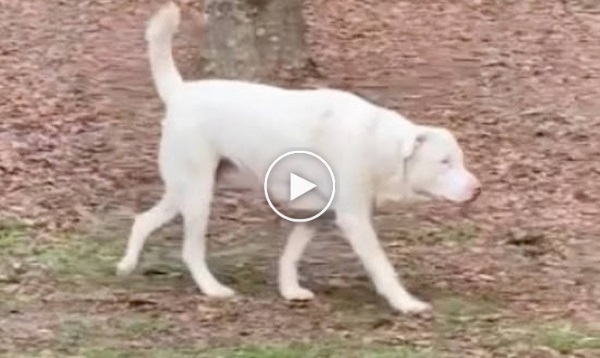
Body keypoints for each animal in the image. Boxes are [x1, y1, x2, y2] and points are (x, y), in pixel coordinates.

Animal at [117, 2, 482, 314]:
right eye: (444, 162)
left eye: (459, 160)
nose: (477, 189)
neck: (378, 143)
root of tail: (180, 92)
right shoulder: (354, 219)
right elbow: (382, 265)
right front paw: (405, 303)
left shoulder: (315, 216)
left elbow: (289, 256)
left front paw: (290, 290)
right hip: (198, 194)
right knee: (190, 250)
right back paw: (212, 289)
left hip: (185, 190)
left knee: (142, 220)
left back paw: (127, 265)